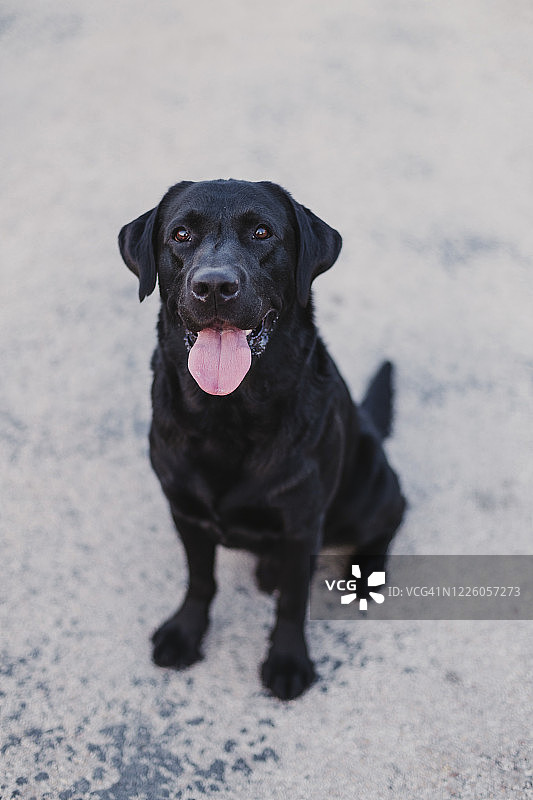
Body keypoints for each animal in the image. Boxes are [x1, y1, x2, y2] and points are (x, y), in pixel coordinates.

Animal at [118, 178, 406, 696]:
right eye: (181, 234)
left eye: (261, 232)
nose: (214, 286)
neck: (227, 415)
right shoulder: (185, 513)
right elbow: (200, 580)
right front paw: (185, 632)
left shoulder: (300, 524)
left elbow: (292, 602)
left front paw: (288, 660)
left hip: (368, 485)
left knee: (391, 515)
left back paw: (365, 574)